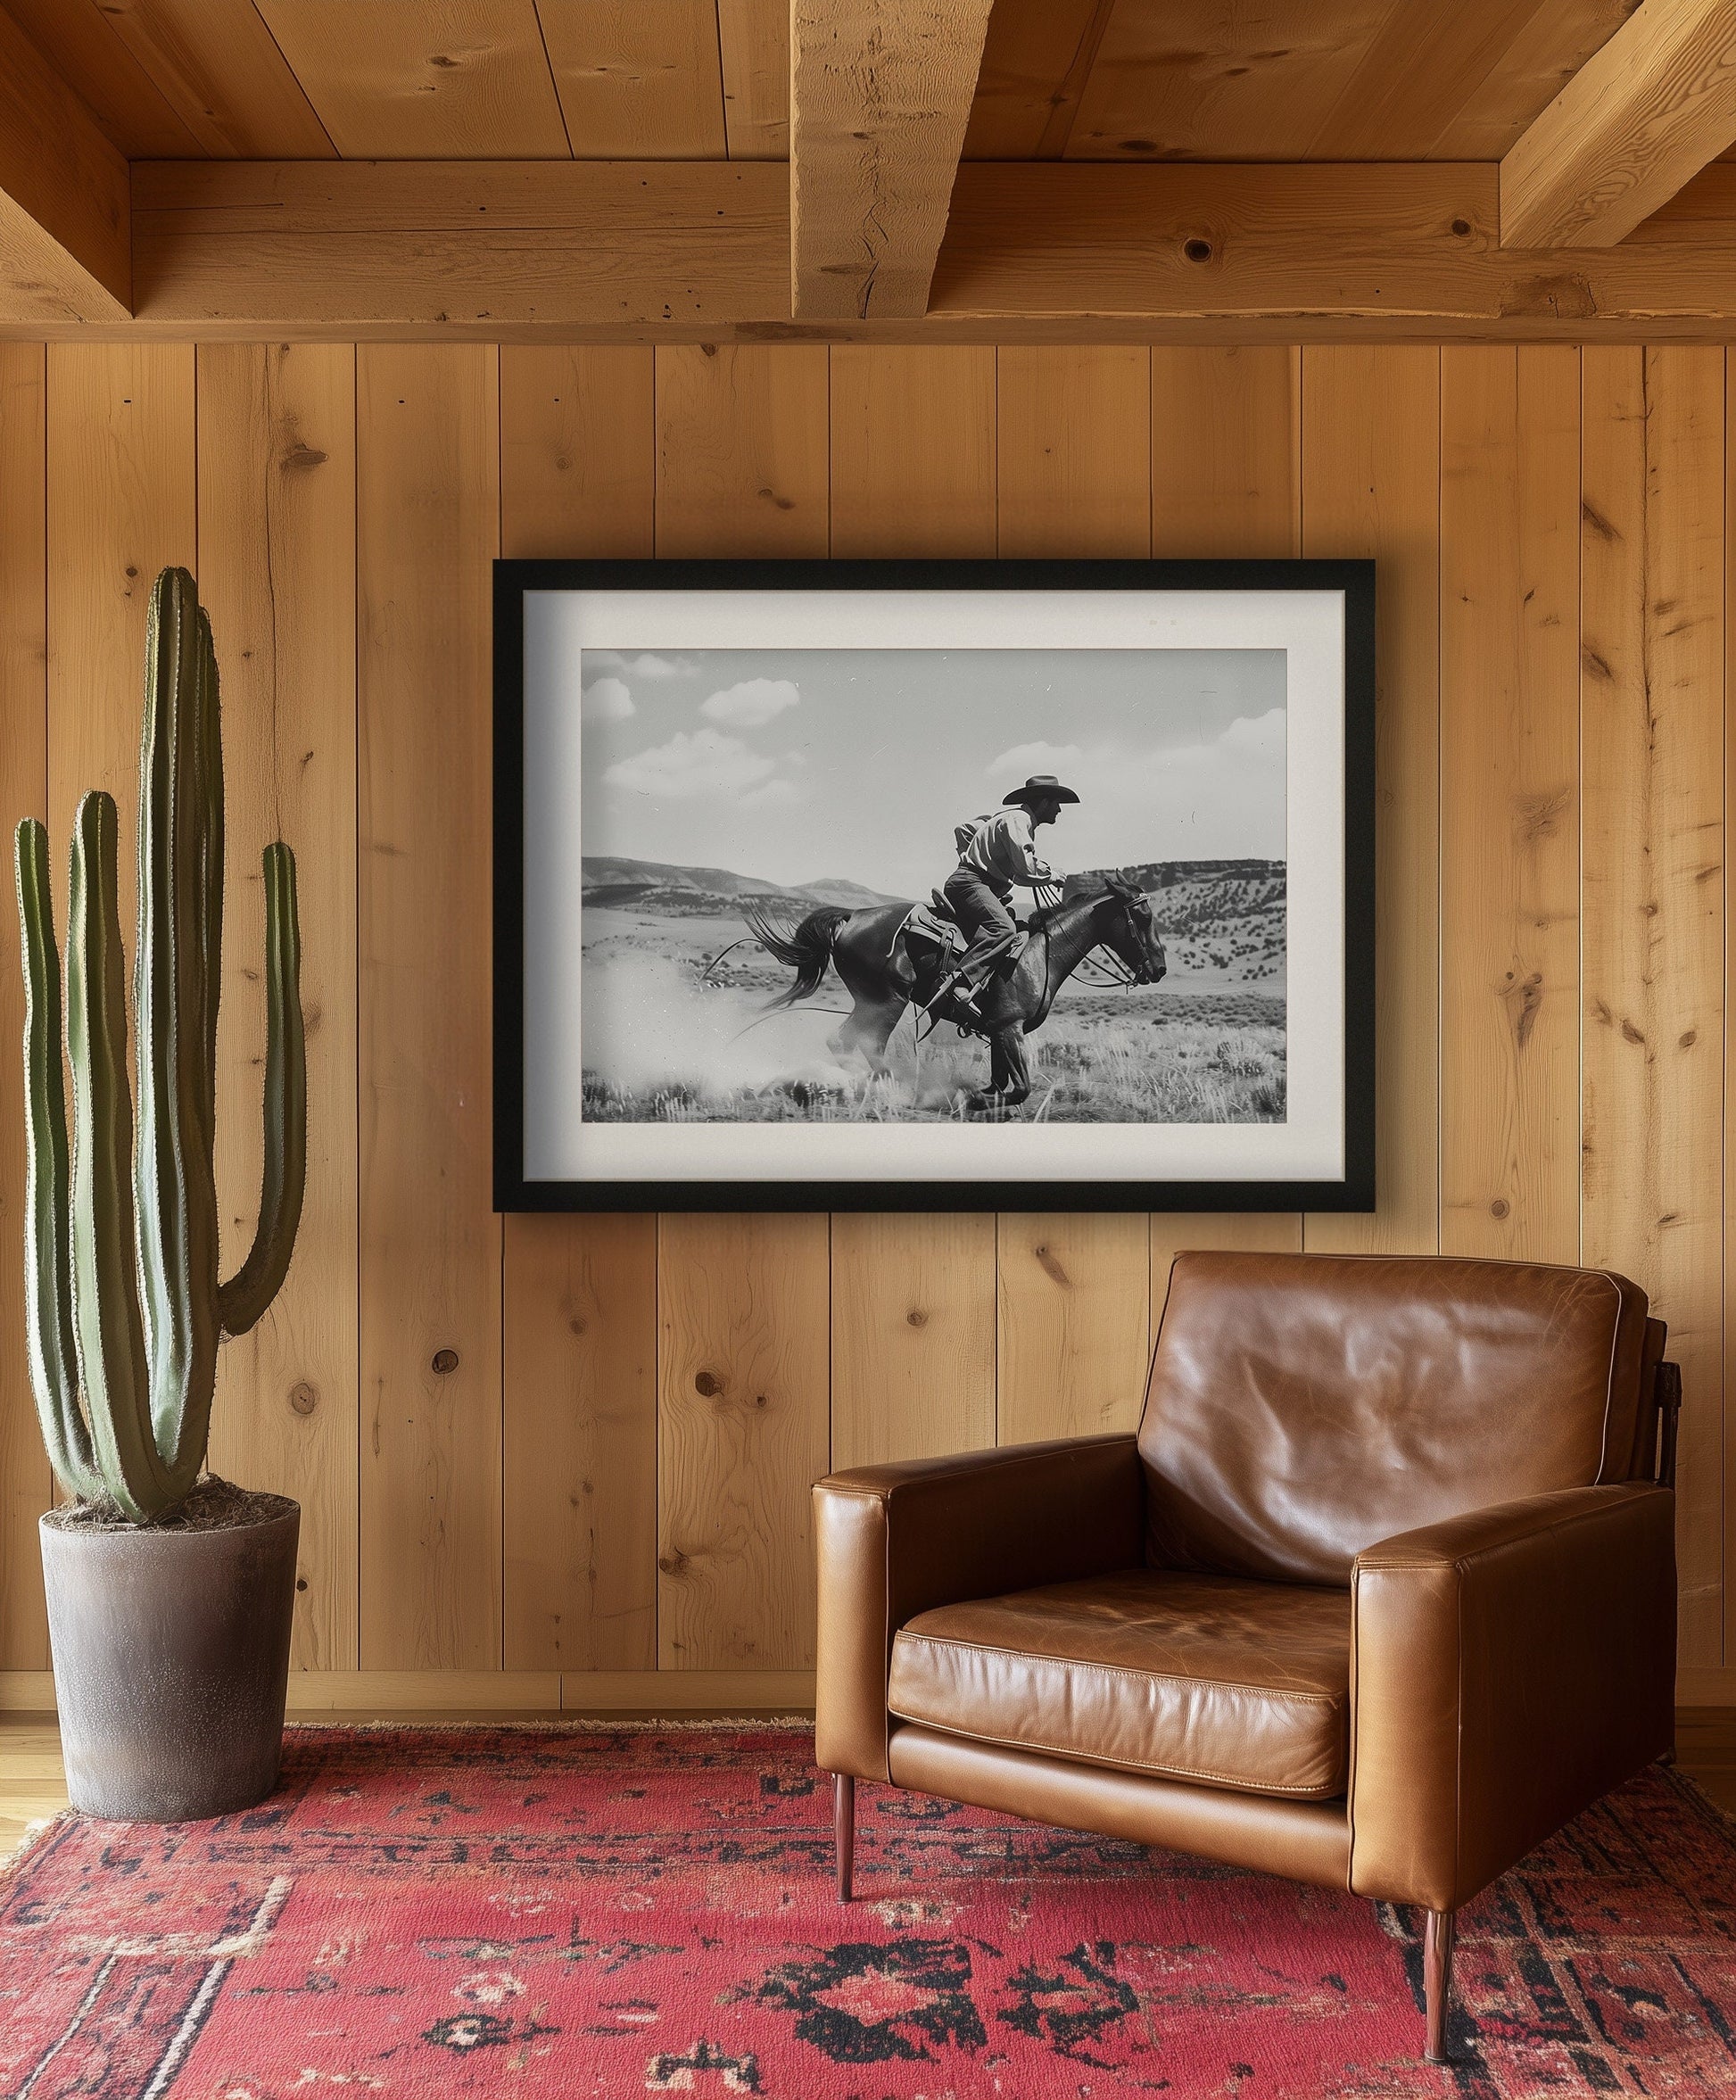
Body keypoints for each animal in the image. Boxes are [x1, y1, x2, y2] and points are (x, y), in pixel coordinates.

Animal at [742, 873, 1167, 1117]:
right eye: (1144, 916)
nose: (1159, 969)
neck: (1041, 954)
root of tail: (852, 917)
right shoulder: (1010, 1028)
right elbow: (1020, 1089)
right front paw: (970, 1099)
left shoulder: (997, 1031)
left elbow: (1000, 1083)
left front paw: (981, 1100)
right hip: (887, 1000)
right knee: (860, 1042)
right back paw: (891, 1088)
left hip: (873, 1001)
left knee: (843, 1041)